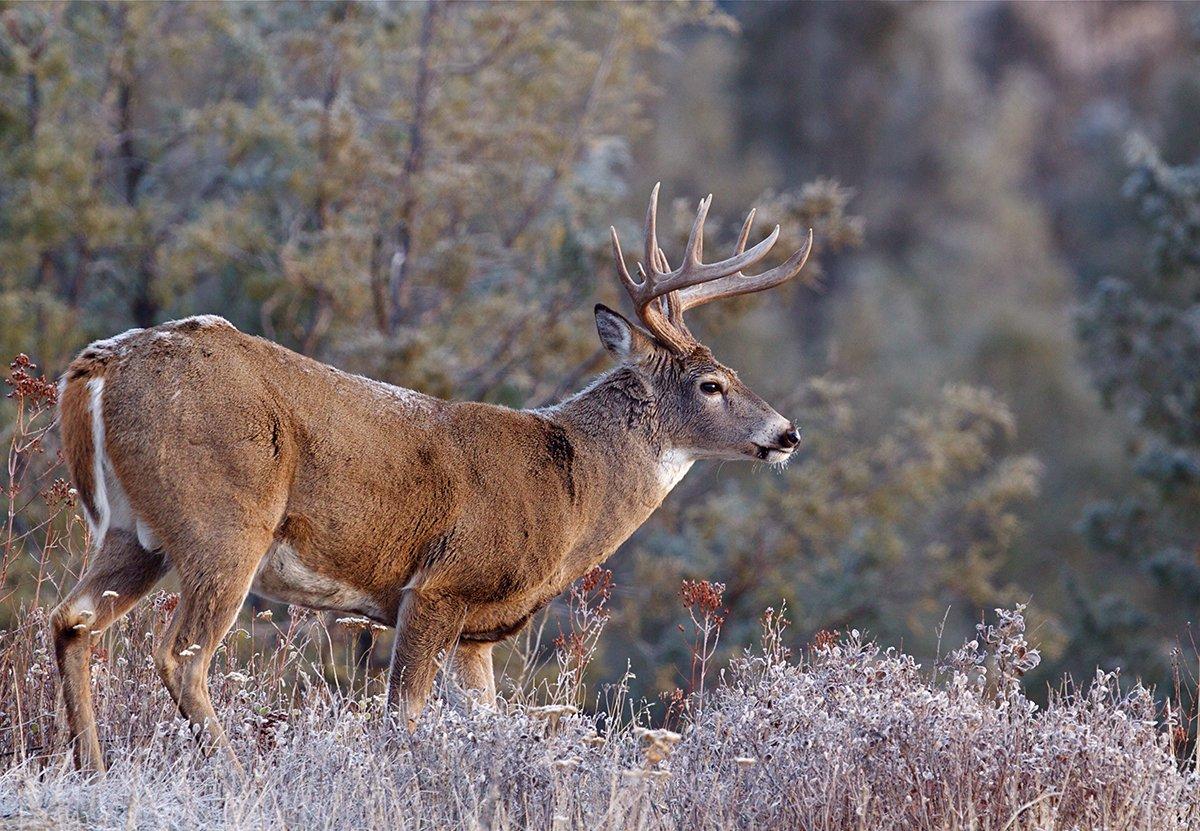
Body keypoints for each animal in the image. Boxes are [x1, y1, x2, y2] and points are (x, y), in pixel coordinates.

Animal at [51, 184, 811, 768]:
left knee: (71, 619)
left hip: (134, 531)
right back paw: (241, 780)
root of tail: (98, 365)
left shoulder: (477, 632)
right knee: (180, 654)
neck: (572, 488)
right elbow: (403, 716)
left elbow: (481, 720)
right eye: (712, 384)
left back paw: (92, 769)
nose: (786, 433)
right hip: (224, 518)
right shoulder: (439, 586)